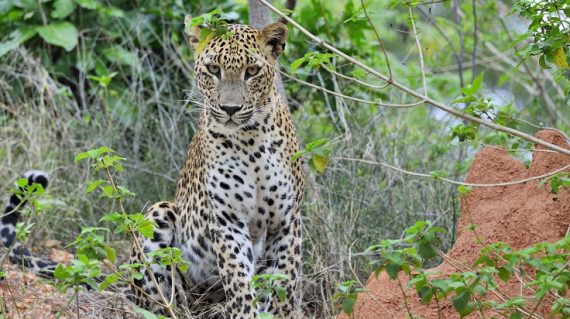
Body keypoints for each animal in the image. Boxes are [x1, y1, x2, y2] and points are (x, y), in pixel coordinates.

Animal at [128, 15, 304, 319]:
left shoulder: (287, 221)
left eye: (252, 71)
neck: (250, 140)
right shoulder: (228, 220)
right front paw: (244, 312)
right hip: (159, 214)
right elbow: (238, 279)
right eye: (213, 69)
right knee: (161, 298)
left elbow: (282, 282)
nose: (230, 109)